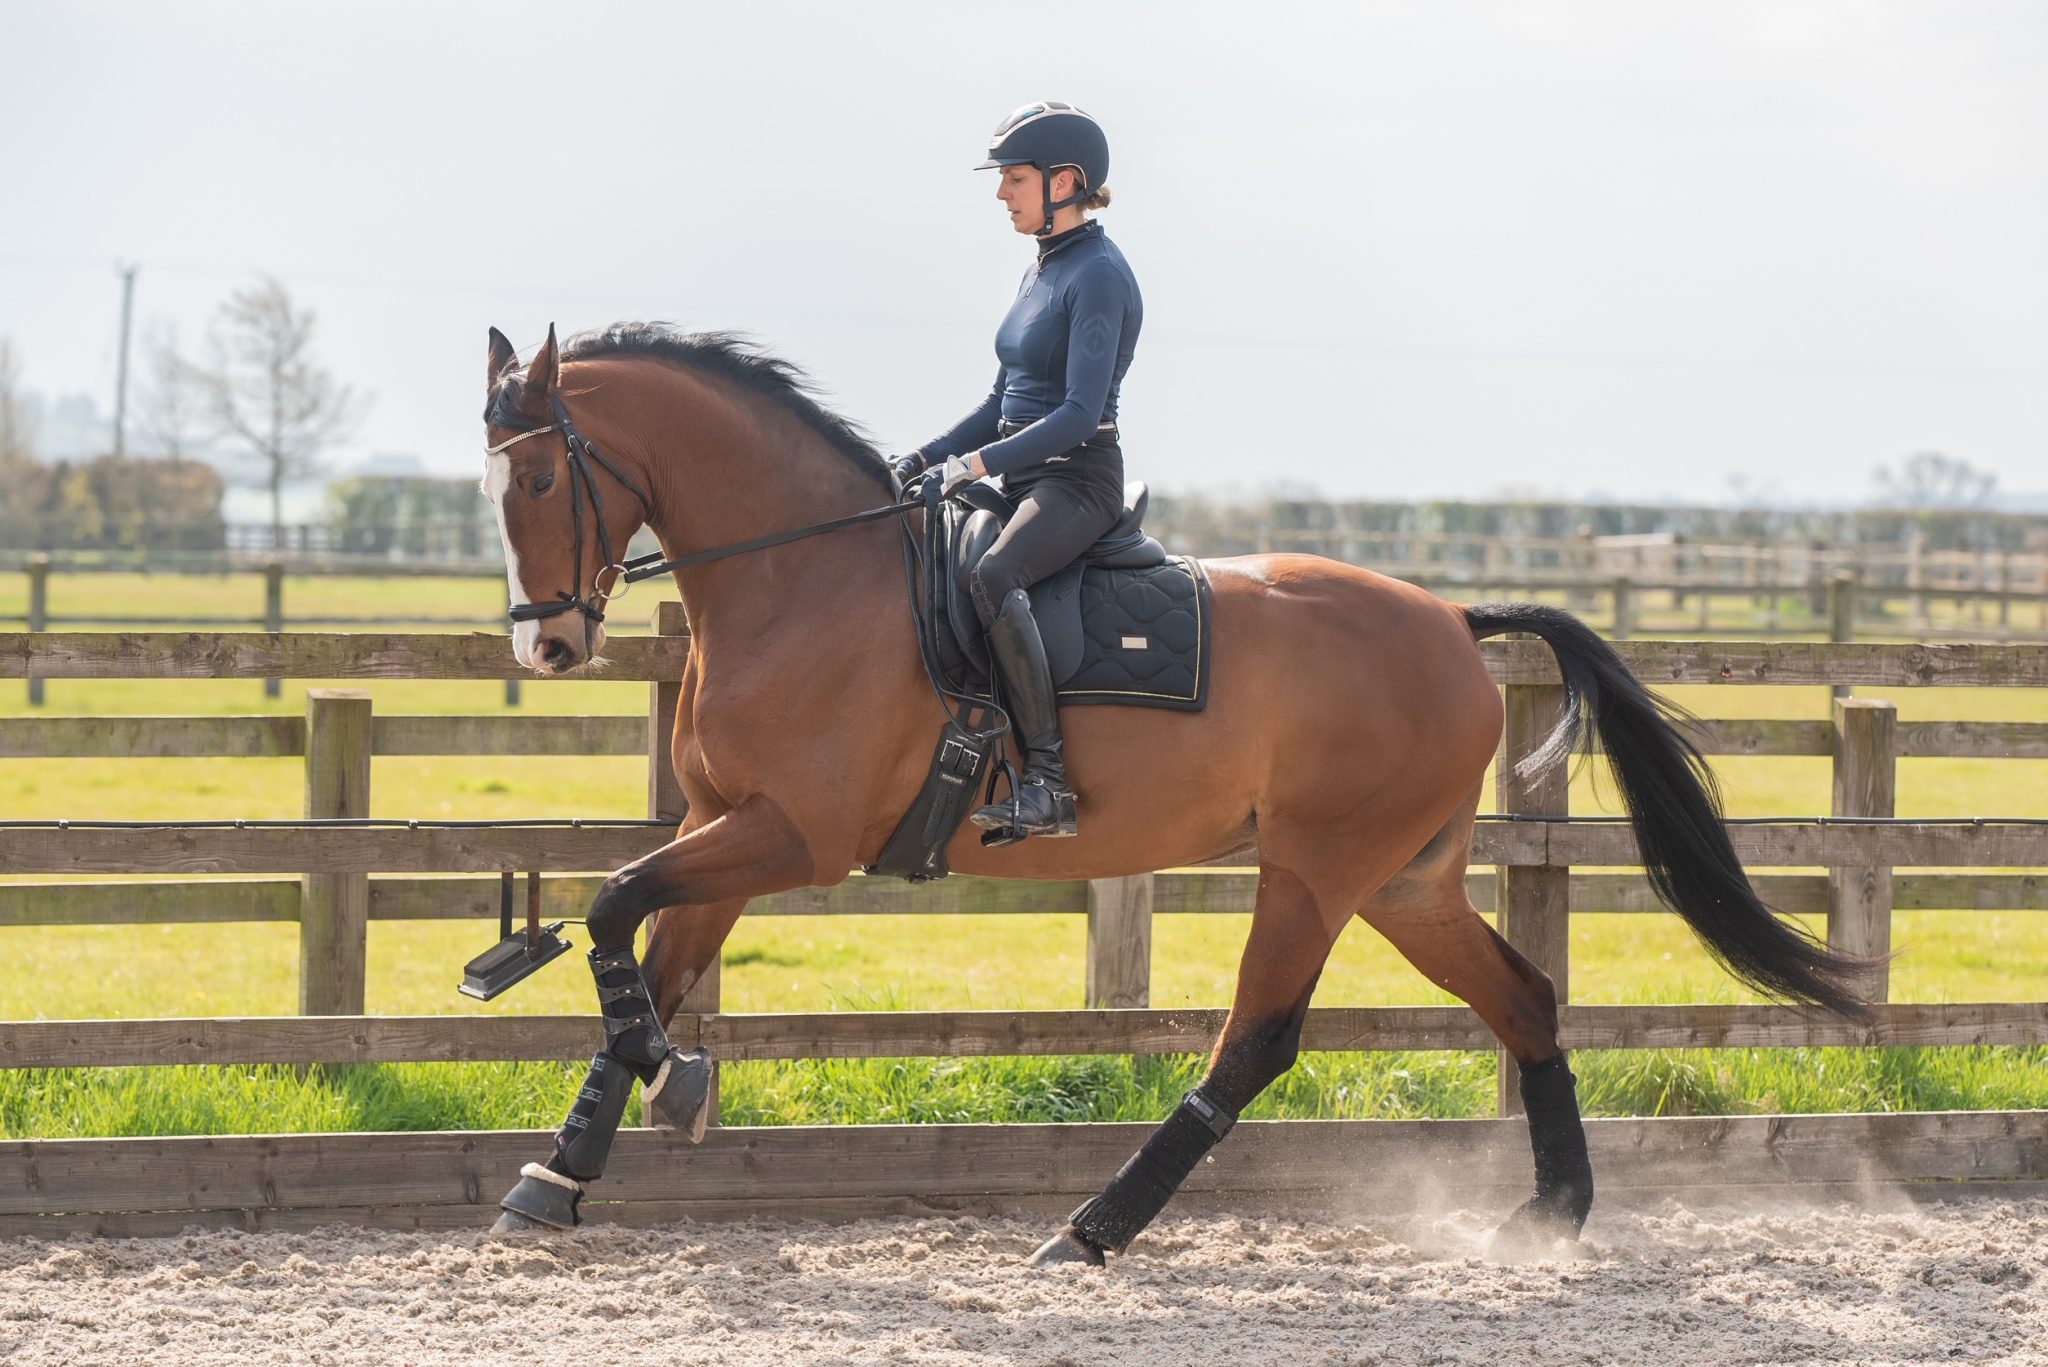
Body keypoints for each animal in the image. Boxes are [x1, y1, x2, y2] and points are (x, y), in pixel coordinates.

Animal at [477, 320, 1873, 1263]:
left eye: (538, 478)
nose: (547, 646)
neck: (801, 580)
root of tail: (1449, 616)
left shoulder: (789, 834)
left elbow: (609, 909)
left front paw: (662, 1085)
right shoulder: (724, 826)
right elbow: (645, 956)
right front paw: (572, 1159)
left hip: (1315, 871)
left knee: (1254, 1041)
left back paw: (1095, 1227)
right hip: (1404, 882)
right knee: (1524, 999)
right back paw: (1550, 1211)